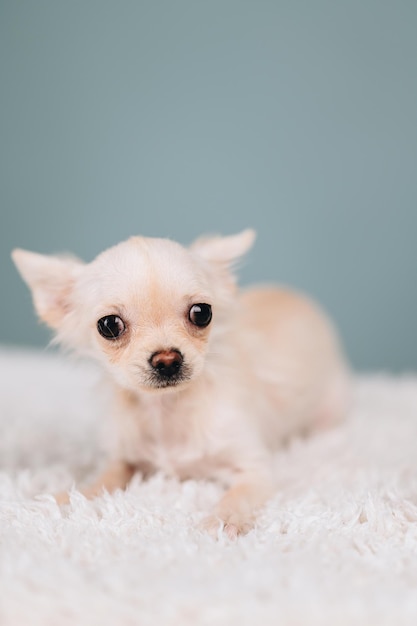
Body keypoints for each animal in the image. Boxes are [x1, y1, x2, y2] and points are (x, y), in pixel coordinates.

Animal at [11, 230, 348, 536]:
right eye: (109, 325)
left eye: (201, 313)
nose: (167, 360)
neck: (166, 411)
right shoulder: (125, 459)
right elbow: (103, 480)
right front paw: (65, 497)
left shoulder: (255, 471)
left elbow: (237, 496)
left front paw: (224, 521)